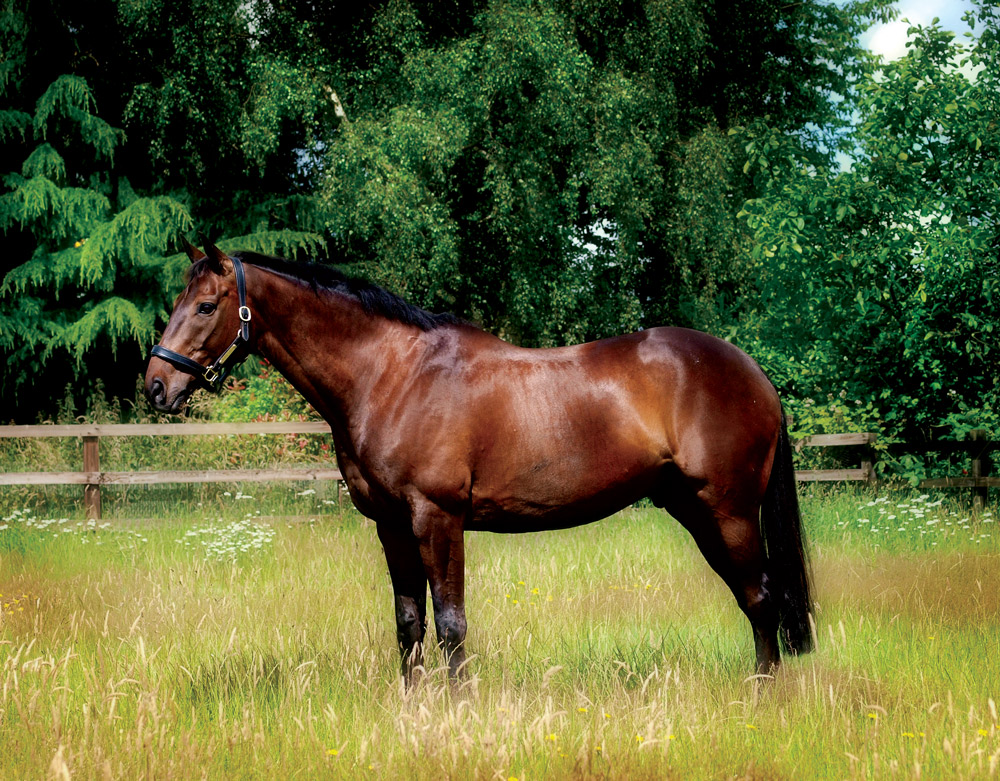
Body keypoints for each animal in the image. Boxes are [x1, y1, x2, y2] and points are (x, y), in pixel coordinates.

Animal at [145, 241, 812, 680]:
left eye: (206, 306)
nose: (155, 385)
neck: (392, 375)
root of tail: (753, 374)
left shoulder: (437, 517)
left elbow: (450, 623)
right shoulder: (393, 525)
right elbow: (409, 622)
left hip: (727, 511)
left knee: (761, 597)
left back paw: (762, 696)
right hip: (695, 510)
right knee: (758, 597)